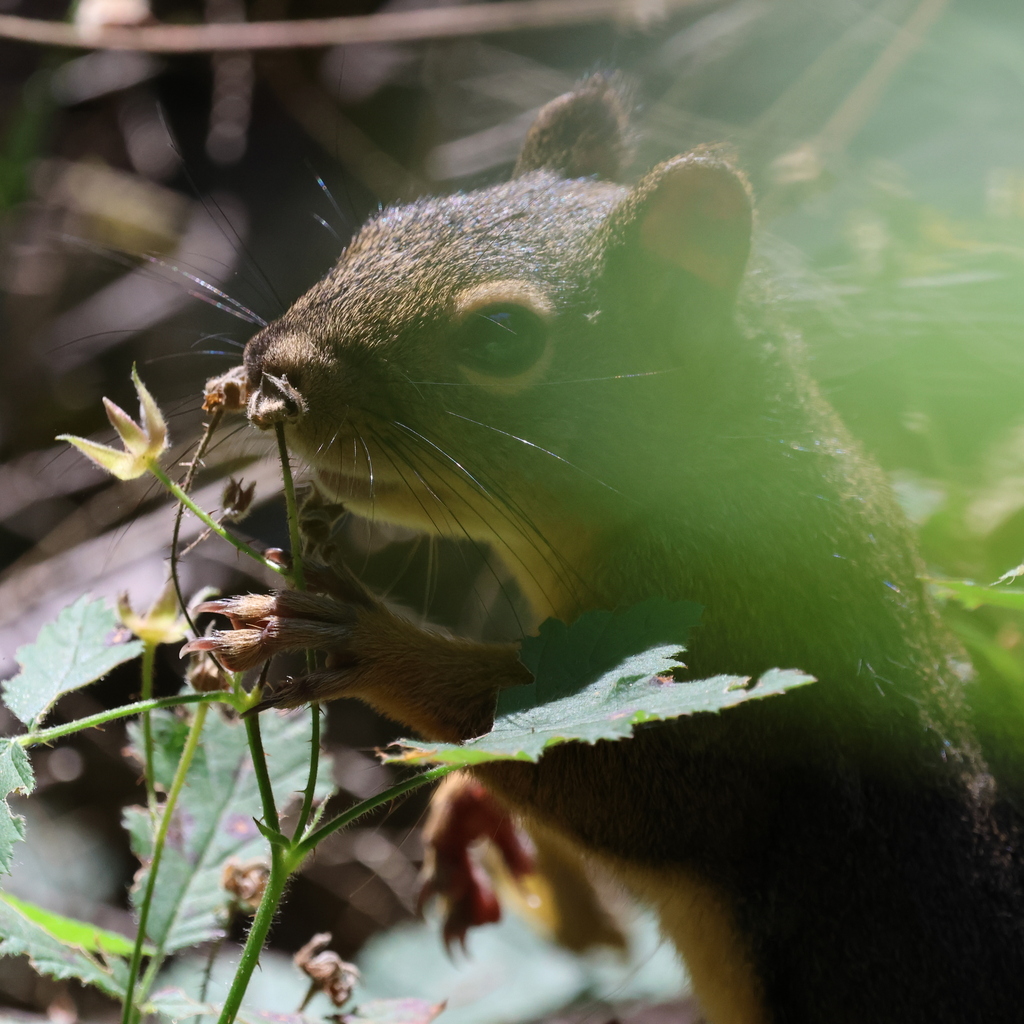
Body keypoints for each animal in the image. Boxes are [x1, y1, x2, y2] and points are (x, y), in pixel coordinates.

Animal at [190, 78, 1024, 1023]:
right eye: (378, 224)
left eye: (502, 337)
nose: (271, 370)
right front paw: (464, 806)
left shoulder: (744, 642)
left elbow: (637, 788)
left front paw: (354, 631)